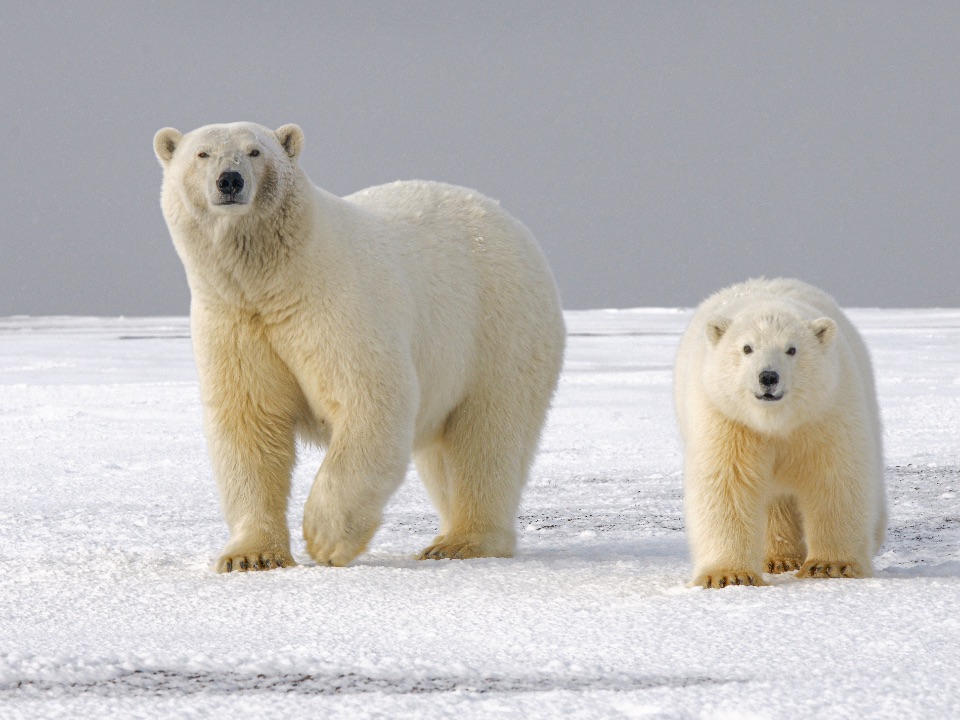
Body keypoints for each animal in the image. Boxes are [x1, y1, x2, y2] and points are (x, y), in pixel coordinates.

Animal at [153, 124, 568, 572]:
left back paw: (462, 541)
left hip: (498, 327)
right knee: (444, 454)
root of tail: (510, 221)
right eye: (202, 154)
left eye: (255, 151)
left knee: (487, 435)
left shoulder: (335, 305)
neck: (275, 281)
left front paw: (324, 538)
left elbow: (370, 398)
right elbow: (250, 423)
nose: (229, 180)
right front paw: (251, 556)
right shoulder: (233, 321)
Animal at [676, 278, 884, 588]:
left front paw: (829, 566)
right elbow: (727, 483)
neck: (776, 422)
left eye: (792, 349)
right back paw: (779, 559)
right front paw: (729, 575)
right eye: (747, 348)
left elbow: (835, 477)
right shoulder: (727, 419)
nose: (768, 377)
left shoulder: (825, 412)